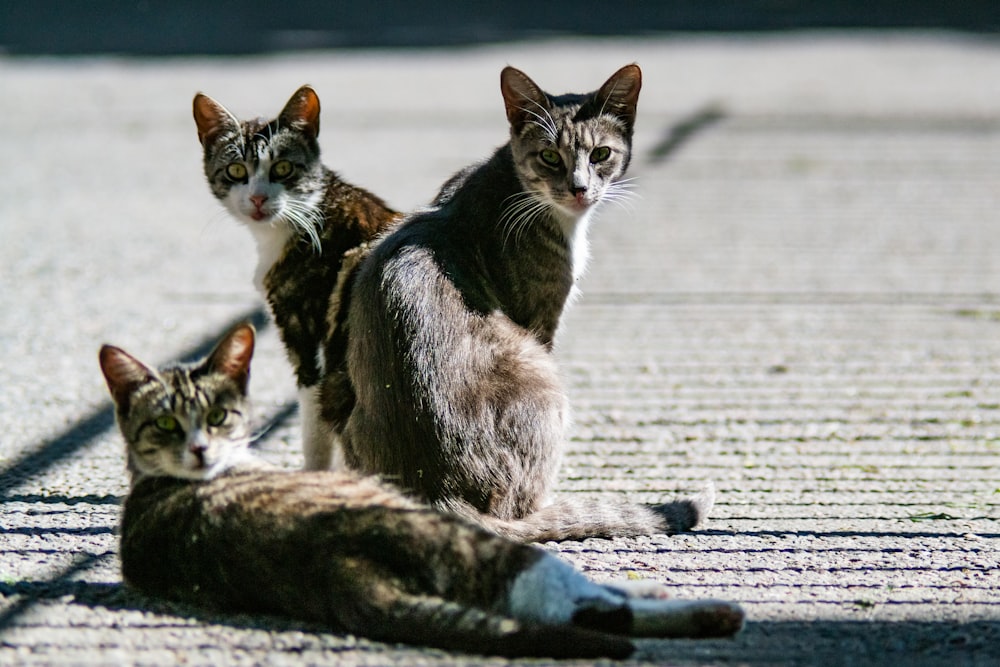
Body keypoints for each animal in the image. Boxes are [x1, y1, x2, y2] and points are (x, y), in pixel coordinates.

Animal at [97, 324, 748, 656]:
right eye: (164, 425)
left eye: (218, 416)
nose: (200, 450)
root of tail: (340, 567)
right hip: (469, 545)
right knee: (582, 606)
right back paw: (712, 611)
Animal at [193, 85, 400, 470]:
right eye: (236, 169)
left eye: (283, 167)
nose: (258, 198)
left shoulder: (306, 336)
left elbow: (314, 430)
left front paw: (313, 472)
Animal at [340, 64, 716, 544]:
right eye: (550, 157)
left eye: (601, 154)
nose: (578, 188)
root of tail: (440, 493)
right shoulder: (543, 317)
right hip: (542, 378)